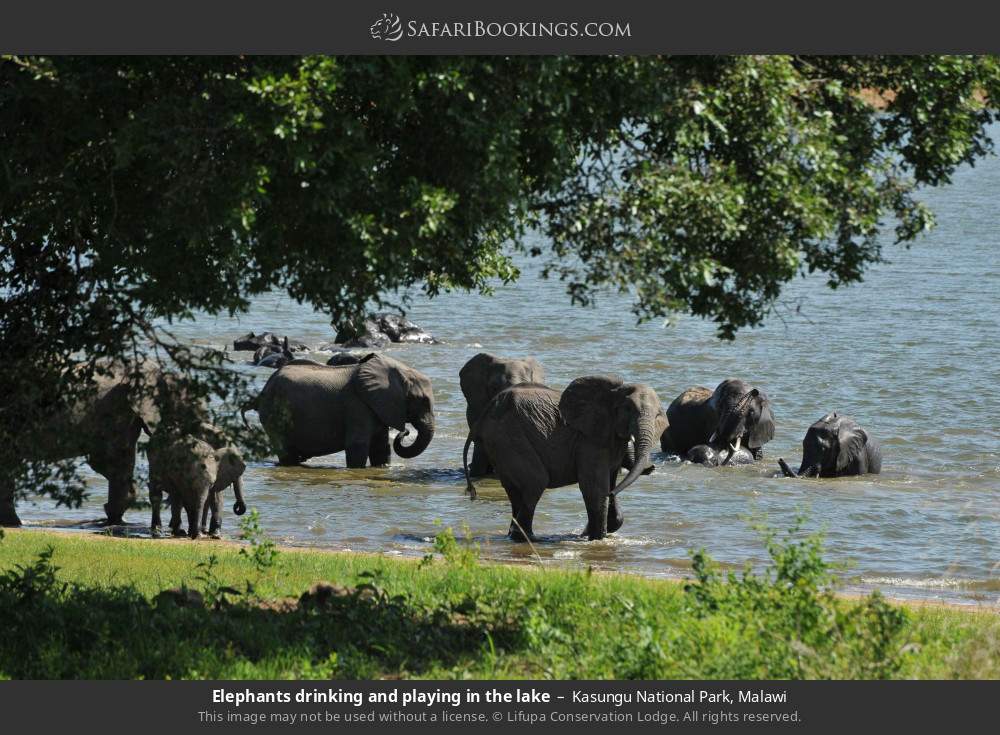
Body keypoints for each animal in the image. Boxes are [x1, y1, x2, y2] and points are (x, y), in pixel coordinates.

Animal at [242, 353, 435, 468]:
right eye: (422, 401)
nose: (406, 431)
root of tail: (261, 393)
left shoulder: (378, 406)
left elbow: (381, 447)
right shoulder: (356, 405)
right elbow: (357, 445)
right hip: (273, 414)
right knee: (286, 451)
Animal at [463, 376, 667, 541]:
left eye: (658, 415)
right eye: (628, 409)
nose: (652, 467)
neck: (613, 393)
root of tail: (484, 414)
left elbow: (610, 480)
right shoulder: (589, 441)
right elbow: (594, 487)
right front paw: (596, 539)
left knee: (516, 492)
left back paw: (518, 536)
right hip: (508, 437)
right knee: (536, 482)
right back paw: (530, 539)